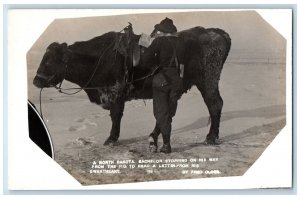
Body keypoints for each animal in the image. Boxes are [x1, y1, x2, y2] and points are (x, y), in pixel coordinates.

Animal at [32, 26, 230, 146]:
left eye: (49, 61)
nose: (35, 81)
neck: (98, 57)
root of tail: (213, 32)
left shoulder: (116, 93)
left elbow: (115, 116)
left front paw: (111, 139)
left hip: (208, 82)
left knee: (215, 104)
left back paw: (211, 137)